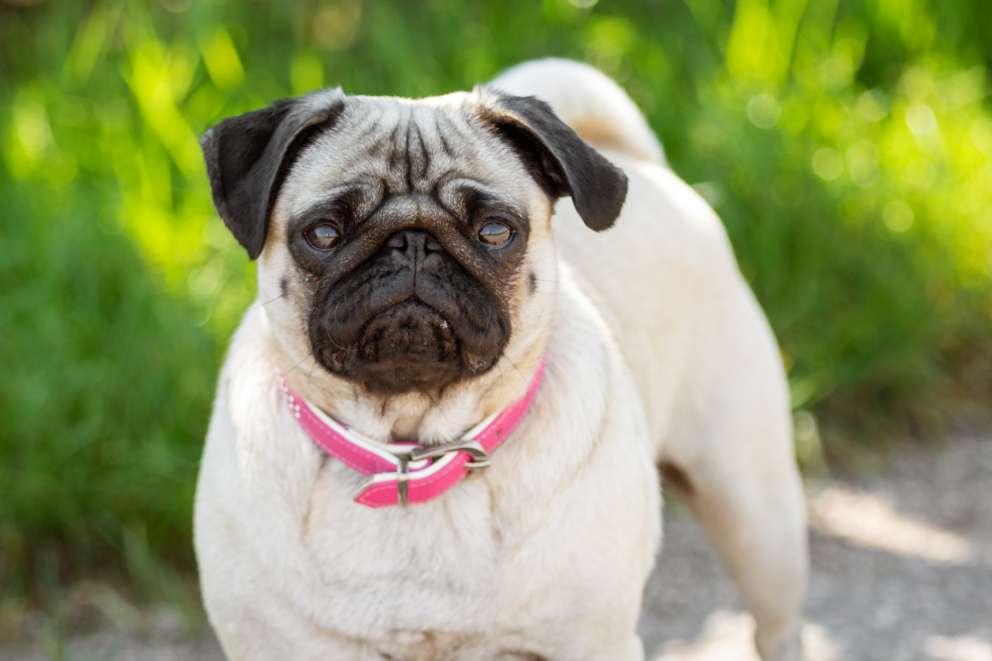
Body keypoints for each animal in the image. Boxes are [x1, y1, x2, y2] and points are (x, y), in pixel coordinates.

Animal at [194, 58, 808, 660]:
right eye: (323, 233)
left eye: (495, 231)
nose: (412, 243)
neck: (411, 452)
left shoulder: (593, 641)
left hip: (753, 512)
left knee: (778, 625)